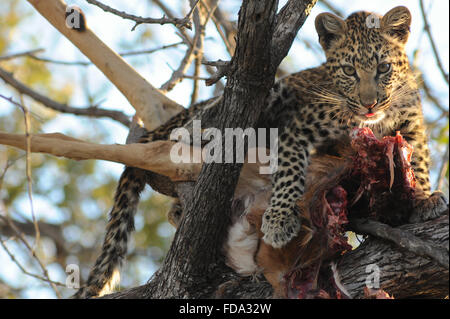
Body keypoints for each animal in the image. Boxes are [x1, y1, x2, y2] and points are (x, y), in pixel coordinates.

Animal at [73, 5, 446, 300]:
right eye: (349, 71)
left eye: (383, 68)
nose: (370, 104)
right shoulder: (300, 126)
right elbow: (289, 172)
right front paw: (279, 220)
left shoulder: (412, 126)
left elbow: (418, 162)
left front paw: (424, 198)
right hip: (269, 94)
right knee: (200, 128)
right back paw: (203, 133)